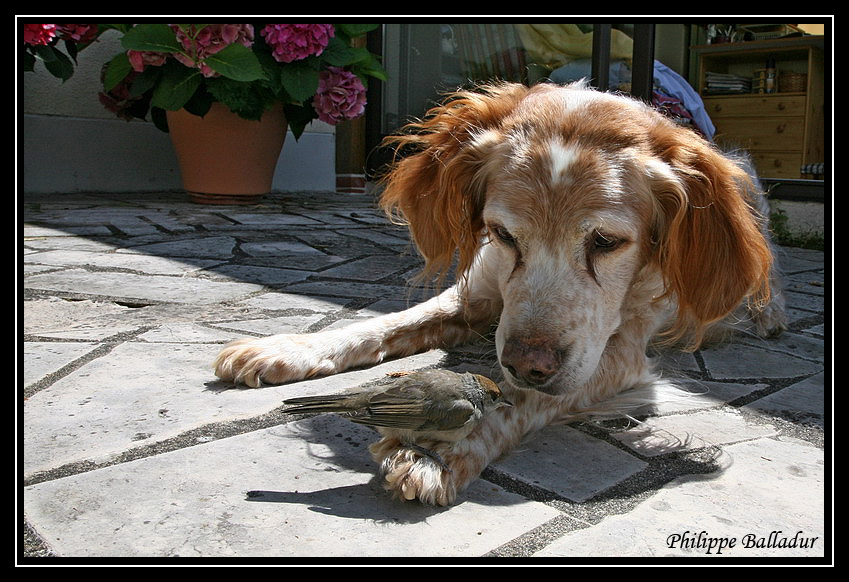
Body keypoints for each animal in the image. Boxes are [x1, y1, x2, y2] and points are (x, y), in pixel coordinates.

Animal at [215, 81, 784, 506]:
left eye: (606, 242)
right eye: (504, 234)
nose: (529, 362)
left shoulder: (619, 354)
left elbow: (520, 400)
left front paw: (438, 452)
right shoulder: (478, 293)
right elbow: (382, 325)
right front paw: (288, 348)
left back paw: (768, 316)